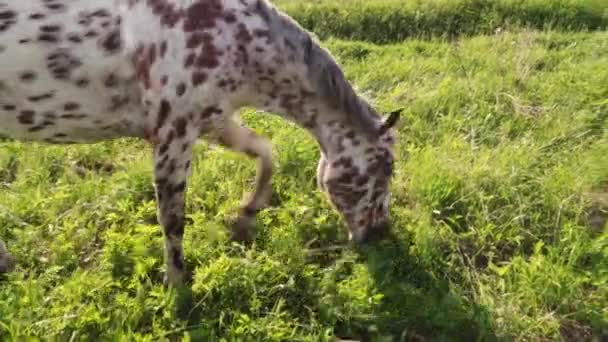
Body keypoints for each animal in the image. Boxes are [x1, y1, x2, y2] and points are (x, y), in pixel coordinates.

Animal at [1, 0, 404, 286]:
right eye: (385, 166)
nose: (381, 233)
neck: (230, 36)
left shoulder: (214, 121)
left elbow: (265, 151)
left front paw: (245, 215)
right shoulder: (173, 134)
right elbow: (172, 218)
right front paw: (177, 285)